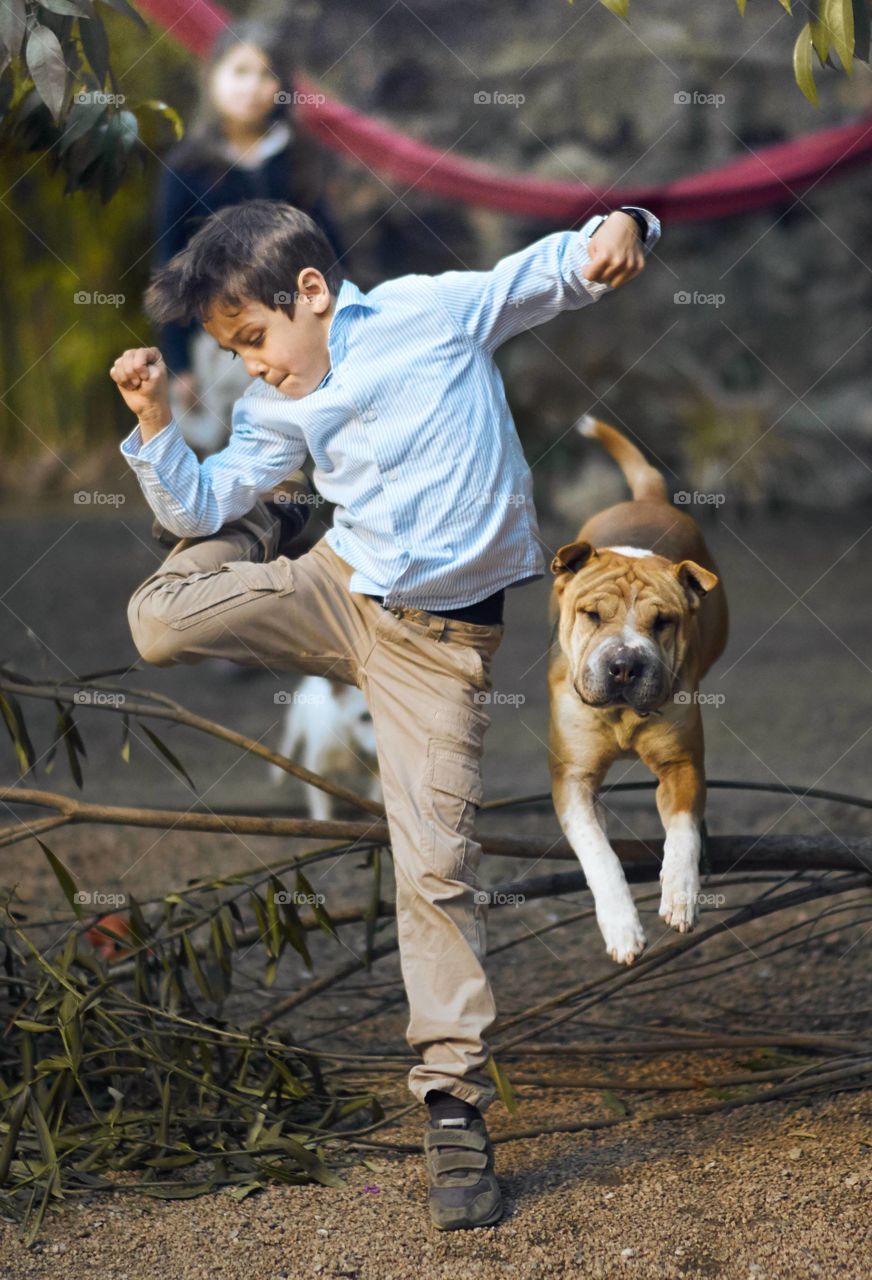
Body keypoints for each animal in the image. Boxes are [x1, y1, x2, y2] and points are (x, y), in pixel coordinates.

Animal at [270, 670, 381, 819]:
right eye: (364, 717)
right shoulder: (315, 769)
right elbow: (322, 809)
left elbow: (377, 794)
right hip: (296, 723)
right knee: (289, 742)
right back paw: (278, 773)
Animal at [550, 414, 727, 962]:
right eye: (592, 615)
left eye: (663, 622)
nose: (625, 665)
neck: (622, 715)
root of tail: (646, 498)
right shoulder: (573, 780)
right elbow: (599, 854)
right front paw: (622, 927)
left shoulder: (681, 765)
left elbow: (683, 831)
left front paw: (681, 894)